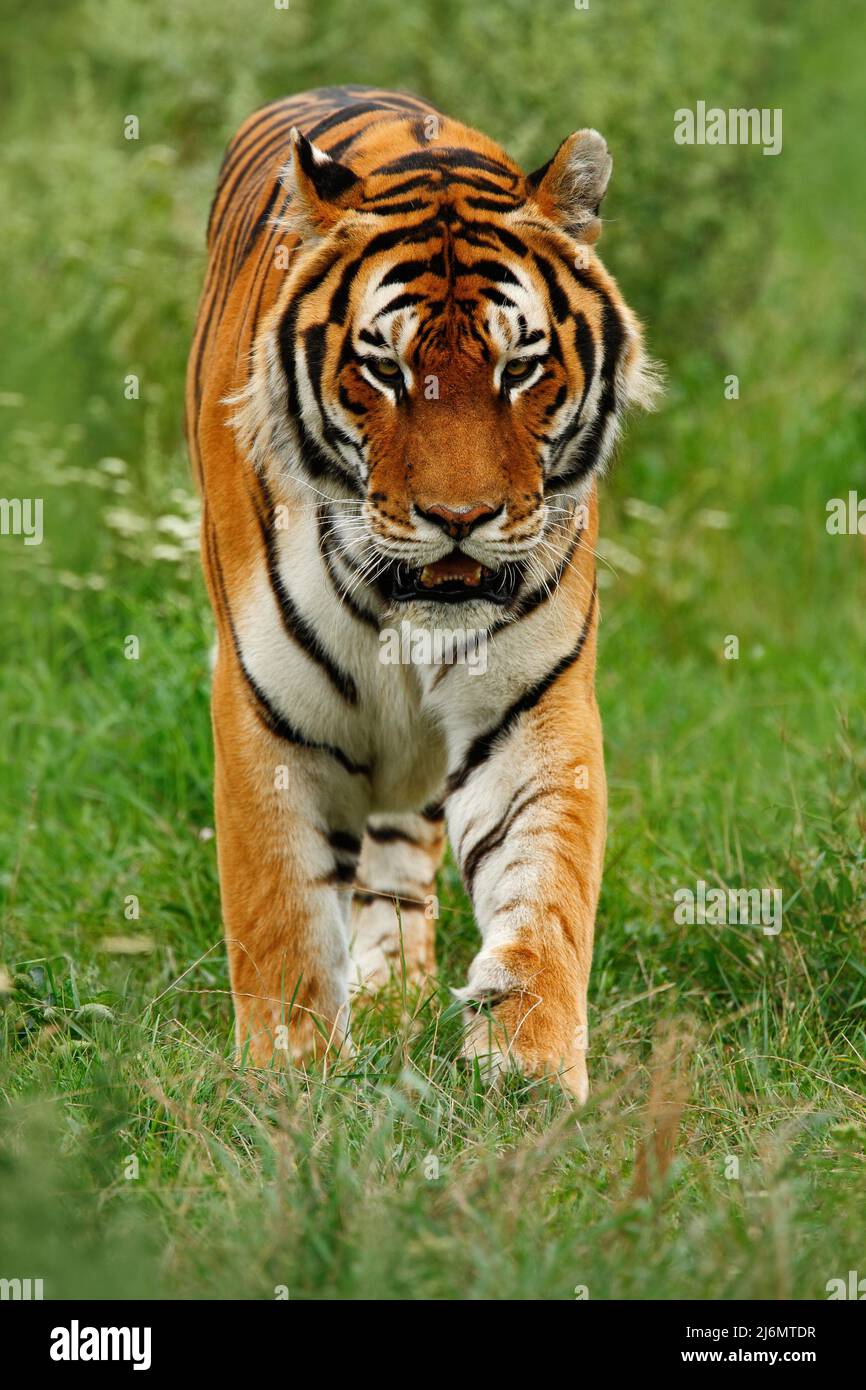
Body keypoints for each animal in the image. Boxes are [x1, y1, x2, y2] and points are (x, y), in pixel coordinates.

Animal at [186, 84, 658, 1100]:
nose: (460, 516)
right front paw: (290, 1078)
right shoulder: (265, 710)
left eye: (520, 367)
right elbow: (280, 915)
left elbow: (544, 892)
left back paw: (395, 989)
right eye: (384, 369)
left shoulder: (531, 701)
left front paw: (528, 1069)